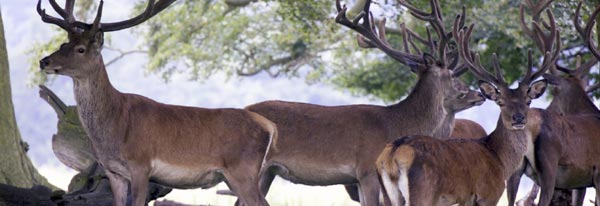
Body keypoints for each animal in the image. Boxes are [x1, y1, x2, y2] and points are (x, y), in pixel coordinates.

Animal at [35, 0, 274, 205]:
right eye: (63, 43)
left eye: (81, 49)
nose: (44, 61)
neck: (115, 124)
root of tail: (270, 127)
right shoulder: (113, 172)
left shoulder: (141, 164)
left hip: (243, 170)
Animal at [376, 12, 564, 205]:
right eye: (500, 102)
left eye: (528, 101)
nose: (518, 119)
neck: (498, 158)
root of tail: (392, 156)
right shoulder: (488, 195)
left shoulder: (466, 198)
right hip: (423, 193)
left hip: (387, 195)